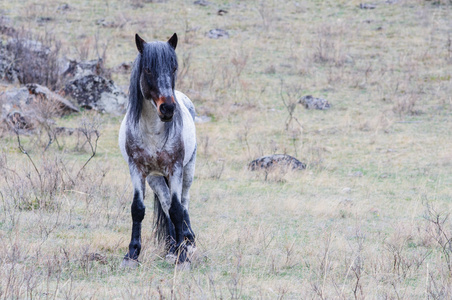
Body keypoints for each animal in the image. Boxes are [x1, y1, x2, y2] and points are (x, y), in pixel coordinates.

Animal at [119, 32, 197, 268]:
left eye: (174, 67)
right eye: (148, 69)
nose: (168, 108)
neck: (153, 131)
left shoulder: (175, 169)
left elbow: (177, 210)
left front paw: (183, 256)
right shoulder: (136, 169)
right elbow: (138, 209)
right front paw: (132, 254)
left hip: (188, 171)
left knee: (183, 204)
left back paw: (187, 242)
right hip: (155, 178)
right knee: (165, 204)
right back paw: (172, 247)